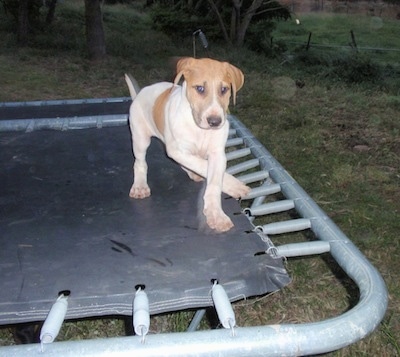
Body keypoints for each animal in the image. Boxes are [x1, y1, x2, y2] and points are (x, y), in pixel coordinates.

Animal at [125, 57, 250, 232]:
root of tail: (140, 93)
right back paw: (140, 186)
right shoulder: (177, 150)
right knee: (140, 162)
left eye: (224, 89)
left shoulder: (217, 154)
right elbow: (202, 165)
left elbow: (213, 182)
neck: (200, 130)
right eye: (200, 88)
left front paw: (216, 214)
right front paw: (235, 185)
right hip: (140, 138)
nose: (215, 122)